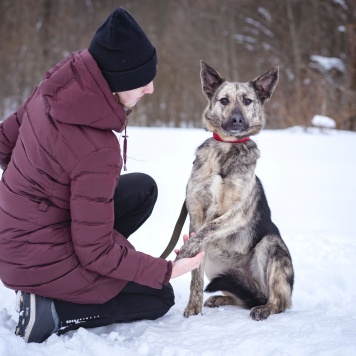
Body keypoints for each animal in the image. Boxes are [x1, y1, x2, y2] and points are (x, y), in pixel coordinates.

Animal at [176, 60, 294, 320]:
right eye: (224, 100)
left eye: (247, 101)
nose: (237, 120)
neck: (226, 148)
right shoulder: (196, 214)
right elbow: (195, 274)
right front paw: (193, 307)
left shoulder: (237, 214)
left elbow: (209, 229)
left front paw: (185, 249)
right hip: (215, 264)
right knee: (241, 297)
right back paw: (221, 298)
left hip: (270, 245)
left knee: (279, 301)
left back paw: (265, 308)